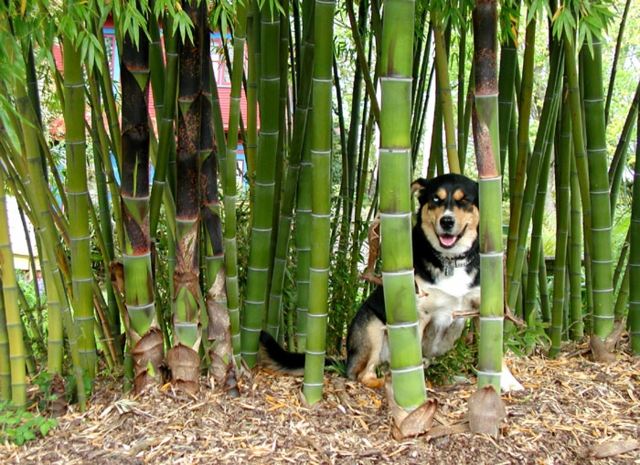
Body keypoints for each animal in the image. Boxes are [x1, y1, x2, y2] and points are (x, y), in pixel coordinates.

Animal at [258, 172, 478, 386]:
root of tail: (348, 358)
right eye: (435, 199)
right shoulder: (417, 311)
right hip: (372, 329)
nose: (446, 222)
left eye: (464, 200)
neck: (449, 261)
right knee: (362, 375)